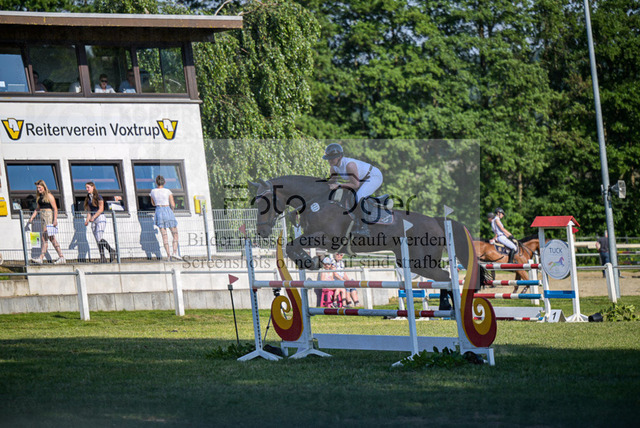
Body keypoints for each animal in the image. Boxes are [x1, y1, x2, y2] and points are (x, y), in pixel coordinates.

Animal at [248, 175, 483, 310]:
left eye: (265, 201)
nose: (261, 231)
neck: (317, 199)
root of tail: (435, 221)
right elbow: (292, 247)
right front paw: (311, 262)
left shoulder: (328, 237)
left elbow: (292, 245)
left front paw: (312, 262)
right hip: (413, 261)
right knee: (444, 277)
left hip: (420, 262)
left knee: (446, 277)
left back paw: (448, 307)